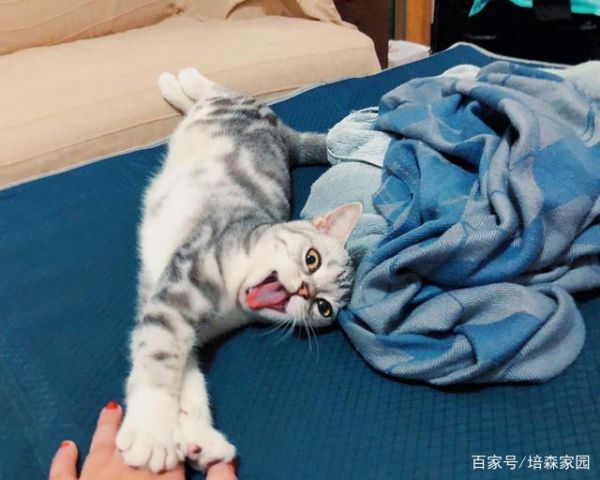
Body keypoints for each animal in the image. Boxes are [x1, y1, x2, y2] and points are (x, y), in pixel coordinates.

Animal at [115, 68, 362, 473]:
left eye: (323, 308)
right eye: (312, 259)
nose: (306, 291)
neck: (229, 305)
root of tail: (284, 133)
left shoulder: (188, 326)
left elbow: (190, 384)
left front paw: (200, 439)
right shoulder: (179, 290)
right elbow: (160, 360)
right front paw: (152, 432)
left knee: (196, 103)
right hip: (230, 103)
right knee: (212, 90)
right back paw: (179, 77)